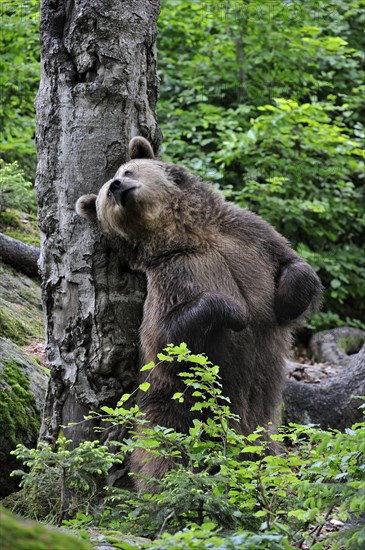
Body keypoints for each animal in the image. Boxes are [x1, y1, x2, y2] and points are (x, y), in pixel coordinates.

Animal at [75, 136, 320, 486]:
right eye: (106, 193)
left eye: (127, 170)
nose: (118, 186)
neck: (189, 235)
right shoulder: (173, 277)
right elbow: (166, 338)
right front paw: (237, 312)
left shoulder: (247, 238)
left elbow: (295, 267)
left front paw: (284, 301)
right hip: (173, 409)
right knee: (163, 456)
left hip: (262, 430)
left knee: (271, 458)